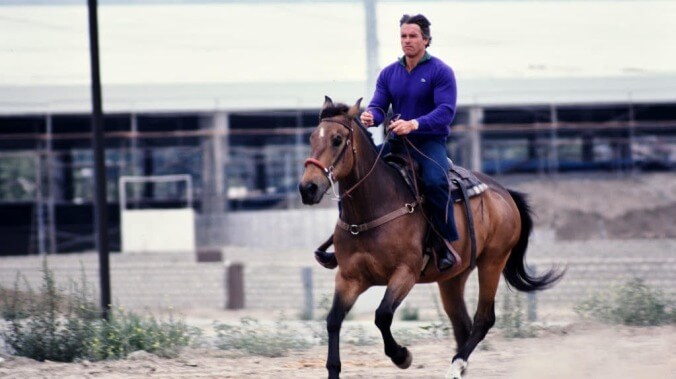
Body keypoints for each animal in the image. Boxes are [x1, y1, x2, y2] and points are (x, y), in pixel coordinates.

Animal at [298, 98, 564, 379]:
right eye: (312, 137)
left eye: (337, 139)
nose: (308, 188)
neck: (374, 208)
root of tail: (504, 193)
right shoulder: (349, 277)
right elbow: (333, 320)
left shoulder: (406, 273)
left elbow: (382, 315)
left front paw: (402, 356)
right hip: (453, 278)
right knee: (462, 324)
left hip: (493, 261)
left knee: (483, 319)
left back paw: (456, 365)